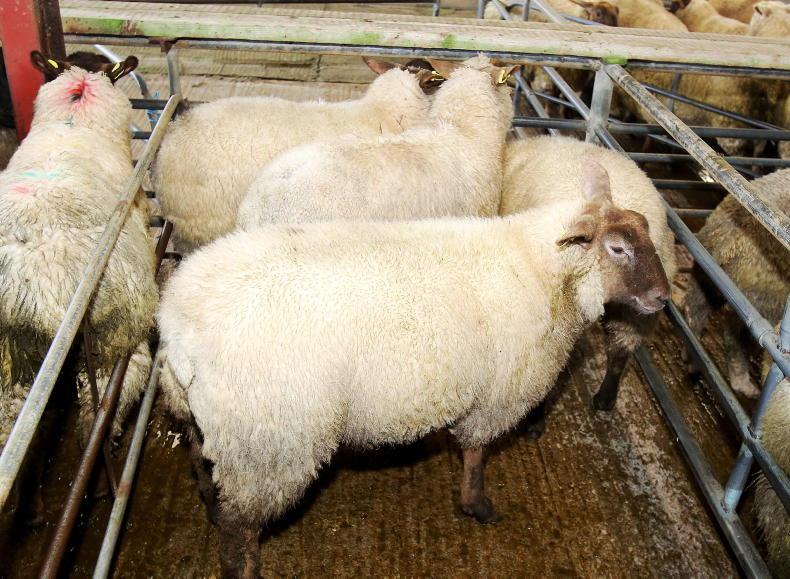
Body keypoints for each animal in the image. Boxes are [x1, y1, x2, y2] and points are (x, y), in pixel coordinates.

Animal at [0, 59, 156, 522]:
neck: (72, 120)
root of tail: (40, 285)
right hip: (114, 337)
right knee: (99, 412)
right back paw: (100, 485)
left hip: (11, 358)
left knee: (17, 427)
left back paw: (30, 505)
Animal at [158, 158, 670, 577]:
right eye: (618, 249)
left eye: (647, 232)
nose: (663, 298)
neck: (543, 270)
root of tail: (179, 330)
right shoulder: (497, 394)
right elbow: (476, 453)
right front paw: (476, 506)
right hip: (270, 443)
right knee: (238, 532)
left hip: (213, 426)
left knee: (203, 467)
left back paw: (208, 501)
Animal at [683, 169, 789, 398]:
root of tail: (728, 240)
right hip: (765, 293)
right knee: (735, 335)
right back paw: (745, 384)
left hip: (707, 275)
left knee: (694, 308)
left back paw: (692, 360)